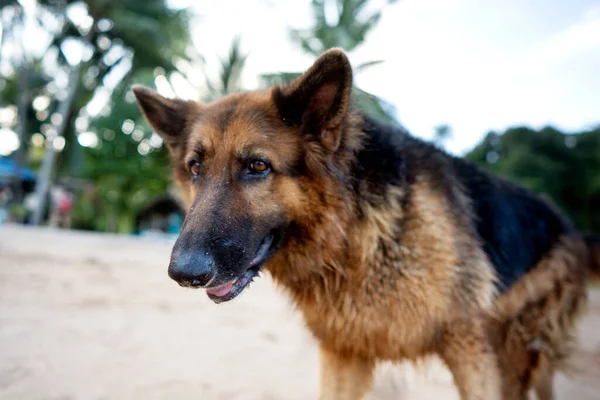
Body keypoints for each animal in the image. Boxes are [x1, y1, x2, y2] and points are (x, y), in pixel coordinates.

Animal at [132, 48, 600, 398]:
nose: (184, 273)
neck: (355, 236)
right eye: (195, 168)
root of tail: (569, 225)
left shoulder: (469, 350)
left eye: (257, 166)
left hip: (523, 354)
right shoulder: (344, 354)